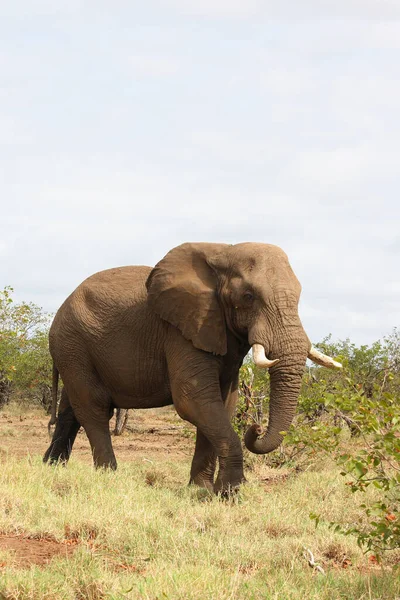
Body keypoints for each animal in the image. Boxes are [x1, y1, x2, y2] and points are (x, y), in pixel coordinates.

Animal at [43, 241, 340, 494]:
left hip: (74, 350)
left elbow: (223, 404)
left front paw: (202, 491)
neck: (224, 253)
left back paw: (51, 467)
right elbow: (192, 399)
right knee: (93, 407)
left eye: (299, 296)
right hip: (72, 342)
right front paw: (229, 493)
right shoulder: (181, 331)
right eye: (248, 296)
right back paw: (109, 477)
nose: (255, 429)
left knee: (71, 408)